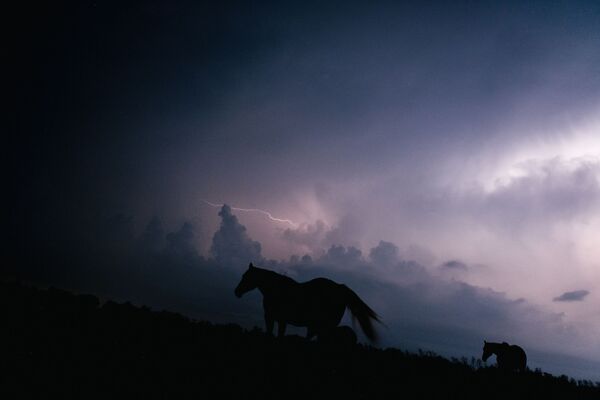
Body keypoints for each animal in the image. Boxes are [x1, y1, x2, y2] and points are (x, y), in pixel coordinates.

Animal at [234, 262, 380, 340]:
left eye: (246, 276)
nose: (237, 292)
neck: (275, 288)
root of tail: (340, 287)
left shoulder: (271, 317)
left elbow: (272, 334)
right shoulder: (281, 320)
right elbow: (279, 334)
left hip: (326, 325)